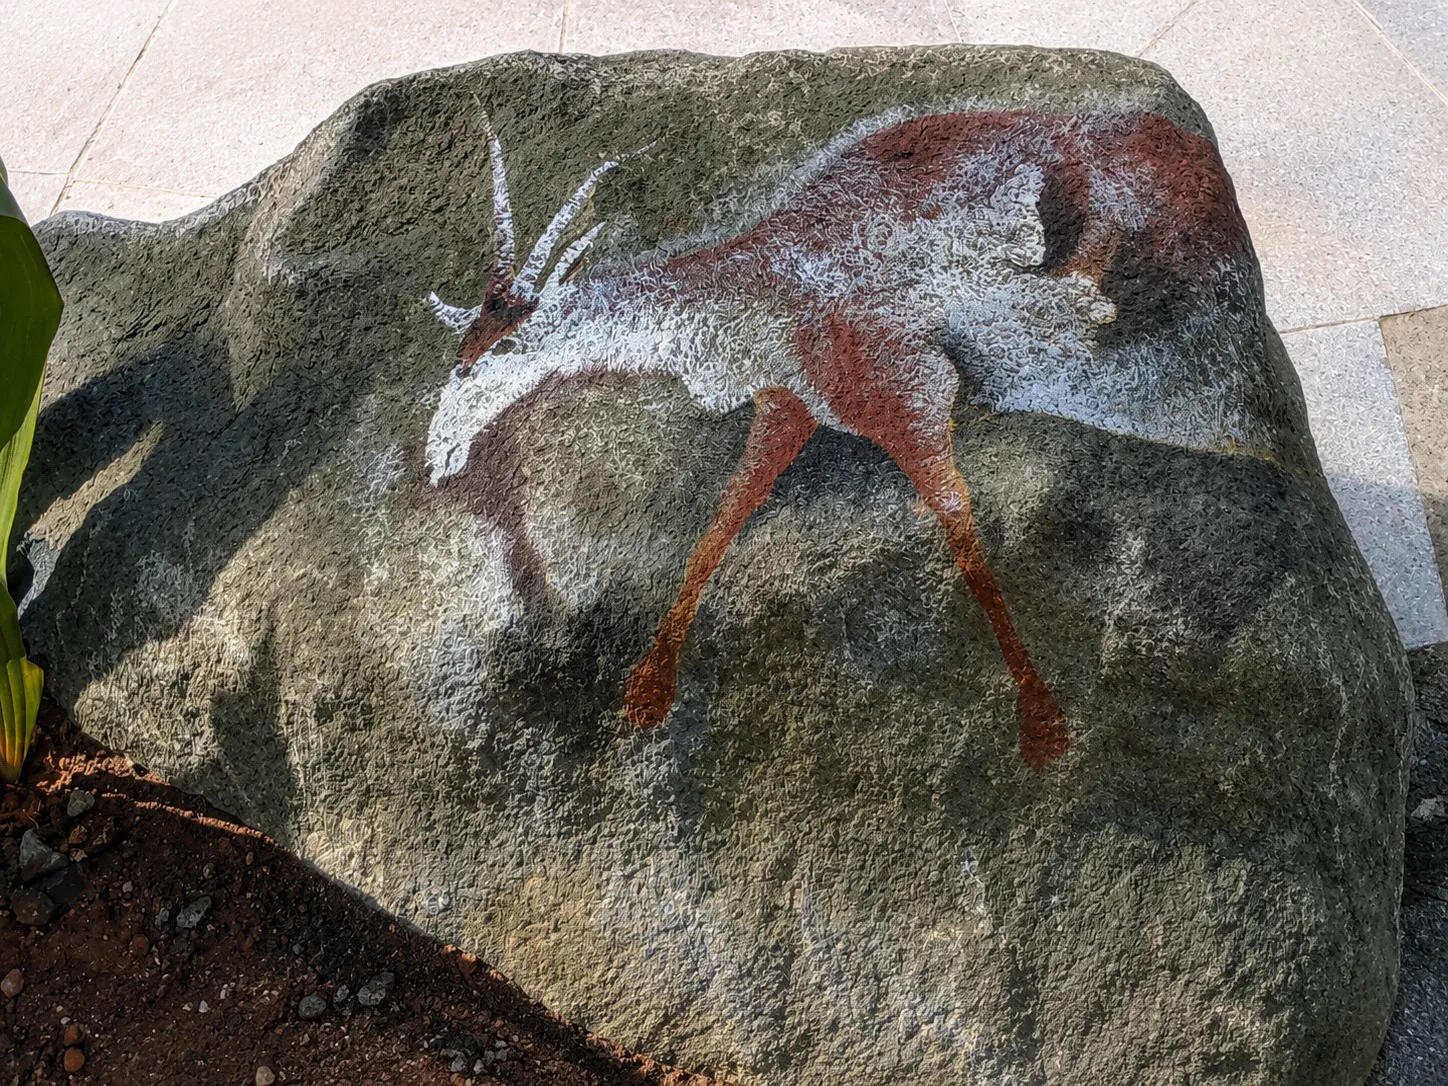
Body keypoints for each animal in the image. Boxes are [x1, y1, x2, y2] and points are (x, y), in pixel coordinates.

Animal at [422, 108, 1252, 771]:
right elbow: (723, 518)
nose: (437, 457)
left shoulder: (909, 397)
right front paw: (648, 691)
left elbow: (958, 522)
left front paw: (1043, 725)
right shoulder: (787, 407)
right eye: (459, 350)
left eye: (496, 351)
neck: (753, 289)